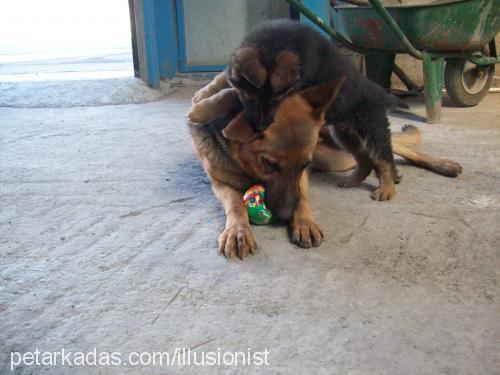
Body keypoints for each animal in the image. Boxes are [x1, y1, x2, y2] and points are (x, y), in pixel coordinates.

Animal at [189, 19, 408, 203]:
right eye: (249, 98)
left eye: (277, 100)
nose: (260, 128)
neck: (276, 43)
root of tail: (380, 93)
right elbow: (229, 90)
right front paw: (202, 104)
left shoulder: (296, 94)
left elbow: (229, 94)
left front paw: (200, 110)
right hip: (344, 134)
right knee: (364, 159)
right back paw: (353, 181)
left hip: (372, 128)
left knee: (384, 158)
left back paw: (386, 188)